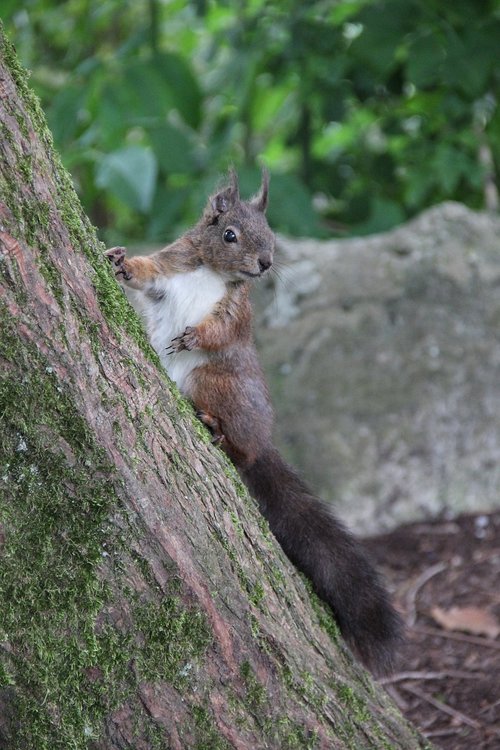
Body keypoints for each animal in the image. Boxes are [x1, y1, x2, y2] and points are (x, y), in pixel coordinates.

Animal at [105, 170, 402, 676]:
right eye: (230, 234)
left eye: (272, 236)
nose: (265, 264)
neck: (211, 271)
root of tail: (263, 440)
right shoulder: (169, 268)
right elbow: (146, 275)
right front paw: (120, 262)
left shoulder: (235, 311)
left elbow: (220, 332)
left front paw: (194, 335)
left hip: (214, 382)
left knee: (241, 452)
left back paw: (218, 432)